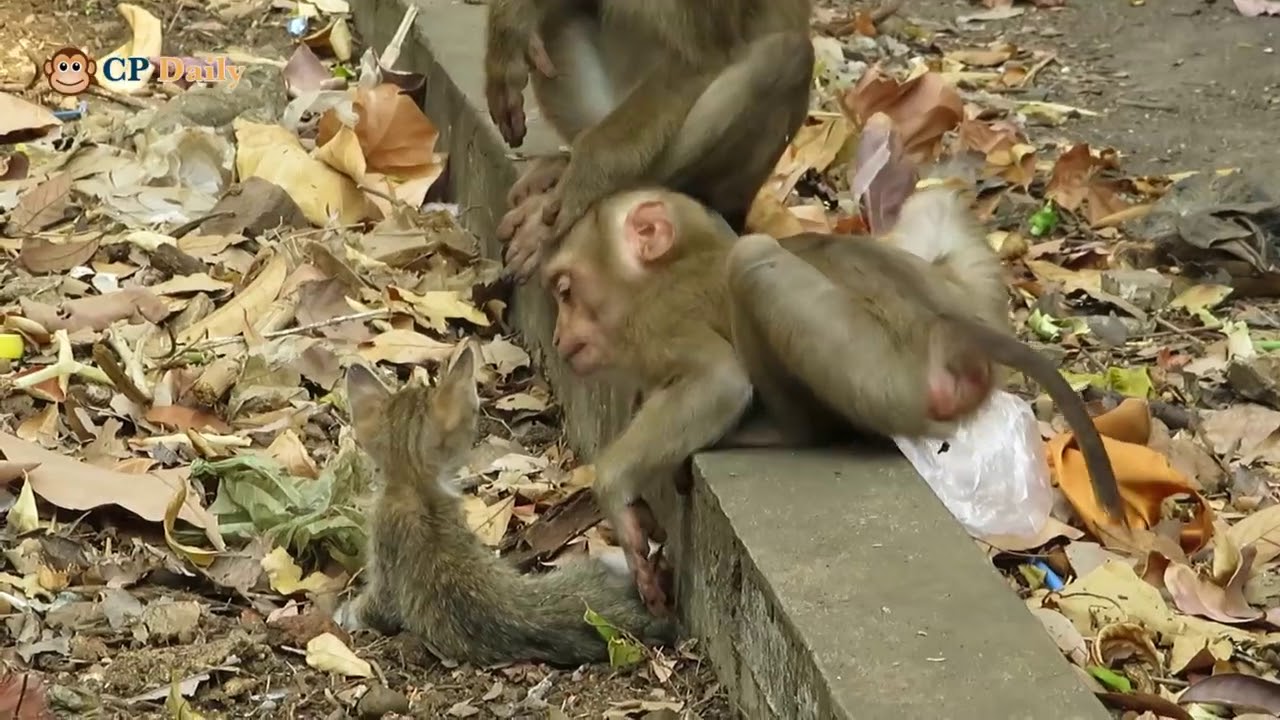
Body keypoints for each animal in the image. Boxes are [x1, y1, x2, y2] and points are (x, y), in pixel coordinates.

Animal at [540, 187, 1124, 612]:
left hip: (880, 376)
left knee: (752, 261)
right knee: (934, 198)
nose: (558, 335)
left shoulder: (655, 324)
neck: (670, 269)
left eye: (566, 291)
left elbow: (720, 380)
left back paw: (784, 430)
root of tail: (949, 325)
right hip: (964, 300)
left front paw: (617, 497)